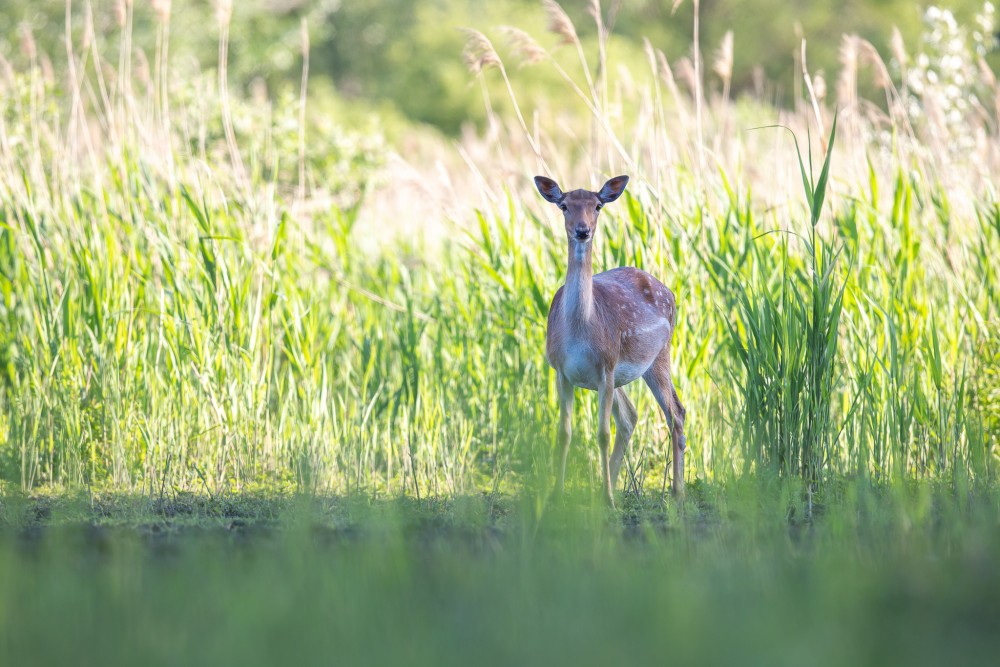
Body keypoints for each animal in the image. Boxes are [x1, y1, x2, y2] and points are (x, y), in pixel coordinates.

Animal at [532, 175, 688, 508]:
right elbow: (564, 433)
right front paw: (557, 496)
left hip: (658, 355)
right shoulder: (561, 370)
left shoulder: (606, 364)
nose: (582, 230)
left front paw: (608, 498)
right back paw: (611, 488)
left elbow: (602, 433)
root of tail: (668, 290)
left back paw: (676, 492)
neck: (580, 332)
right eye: (564, 205)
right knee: (631, 416)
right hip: (622, 374)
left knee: (676, 413)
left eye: (597, 206)